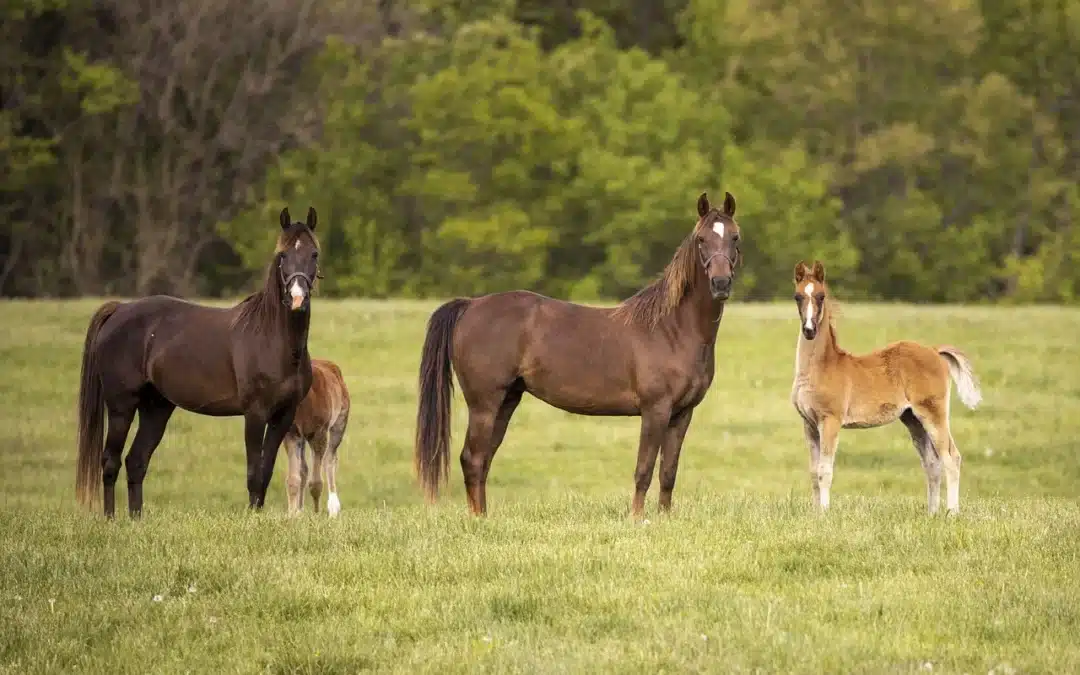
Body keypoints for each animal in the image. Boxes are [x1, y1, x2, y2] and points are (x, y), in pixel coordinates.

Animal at [75, 205, 319, 516]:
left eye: (314, 254)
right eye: (283, 255)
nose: (298, 298)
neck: (272, 339)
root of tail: (119, 310)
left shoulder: (283, 415)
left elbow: (265, 473)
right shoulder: (255, 414)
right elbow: (254, 473)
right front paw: (253, 517)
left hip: (156, 408)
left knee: (136, 461)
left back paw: (136, 519)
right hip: (121, 407)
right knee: (110, 462)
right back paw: (110, 519)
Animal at [280, 358, 347, 516]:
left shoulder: (319, 433)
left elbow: (316, 482)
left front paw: (316, 514)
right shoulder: (292, 434)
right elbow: (293, 478)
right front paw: (292, 514)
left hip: (339, 422)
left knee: (330, 459)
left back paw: (333, 508)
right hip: (303, 437)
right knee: (304, 469)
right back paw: (300, 510)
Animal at [412, 190, 743, 516]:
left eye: (735, 237)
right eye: (701, 239)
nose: (720, 283)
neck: (671, 329)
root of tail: (470, 305)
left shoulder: (682, 413)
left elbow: (668, 472)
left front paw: (663, 518)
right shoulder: (655, 410)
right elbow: (644, 469)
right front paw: (637, 519)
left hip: (506, 401)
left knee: (482, 461)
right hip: (484, 404)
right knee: (472, 459)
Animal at [790, 260, 984, 514]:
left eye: (821, 296)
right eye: (797, 296)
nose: (809, 330)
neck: (821, 367)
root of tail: (934, 351)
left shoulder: (830, 420)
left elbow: (825, 471)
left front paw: (824, 514)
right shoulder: (809, 424)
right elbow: (813, 473)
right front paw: (815, 514)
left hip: (934, 413)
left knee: (951, 457)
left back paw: (951, 513)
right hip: (913, 419)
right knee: (932, 463)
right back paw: (932, 513)